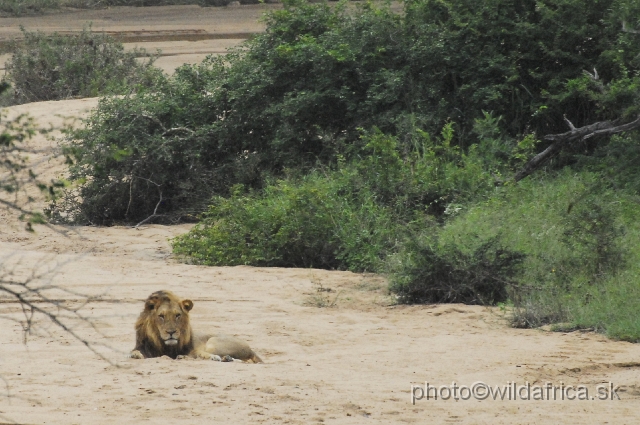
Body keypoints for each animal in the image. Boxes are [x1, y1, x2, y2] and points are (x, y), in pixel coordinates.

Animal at [129, 290, 262, 362]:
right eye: (161, 316)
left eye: (177, 315)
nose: (171, 332)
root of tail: (251, 349)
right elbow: (135, 352)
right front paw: (135, 355)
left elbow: (197, 353)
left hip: (213, 343)